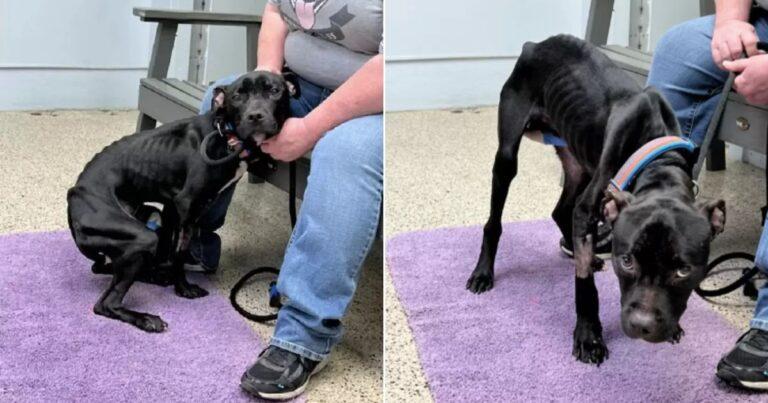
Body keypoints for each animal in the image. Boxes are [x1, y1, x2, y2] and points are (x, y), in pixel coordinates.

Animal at [67, 71, 294, 332]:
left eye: (274, 90)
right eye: (238, 95)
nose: (255, 116)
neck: (225, 134)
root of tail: (74, 196)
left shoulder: (172, 209)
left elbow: (171, 248)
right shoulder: (186, 205)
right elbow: (180, 252)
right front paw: (183, 288)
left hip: (148, 218)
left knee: (106, 268)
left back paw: (153, 276)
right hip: (141, 237)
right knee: (105, 303)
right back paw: (146, 318)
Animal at [464, 35, 724, 366]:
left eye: (684, 270)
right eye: (626, 260)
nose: (643, 326)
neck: (658, 161)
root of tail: (535, 45)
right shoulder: (590, 207)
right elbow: (585, 283)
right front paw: (589, 336)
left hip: (579, 162)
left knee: (561, 210)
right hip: (510, 152)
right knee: (495, 221)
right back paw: (483, 272)